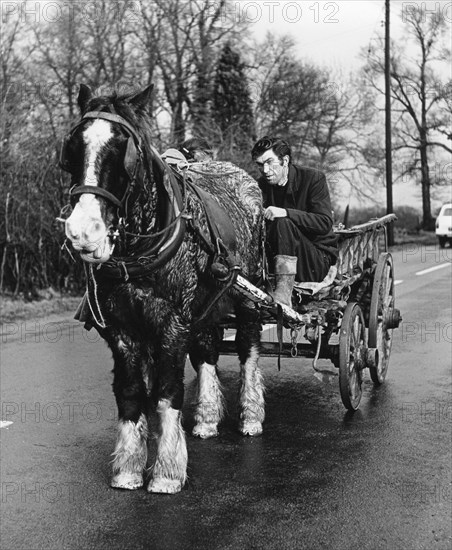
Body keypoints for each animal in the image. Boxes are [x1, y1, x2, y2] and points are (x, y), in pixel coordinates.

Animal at [60, 85, 264, 496]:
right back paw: (206, 419)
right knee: (206, 351)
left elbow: (168, 391)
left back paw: (250, 415)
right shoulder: (121, 328)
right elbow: (131, 392)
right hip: (204, 306)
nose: (83, 231)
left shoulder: (172, 323)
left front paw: (167, 471)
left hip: (246, 297)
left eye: (124, 151)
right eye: (72, 148)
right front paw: (128, 468)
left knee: (248, 350)